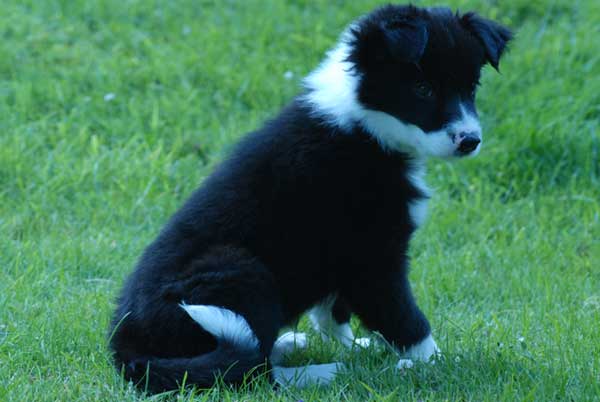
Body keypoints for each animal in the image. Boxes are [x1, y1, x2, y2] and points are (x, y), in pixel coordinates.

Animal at [109, 3, 510, 392]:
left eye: (472, 87)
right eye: (423, 88)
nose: (470, 140)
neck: (365, 124)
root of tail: (124, 347)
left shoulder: (340, 254)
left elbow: (333, 310)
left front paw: (354, 347)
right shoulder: (373, 256)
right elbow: (404, 318)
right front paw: (437, 365)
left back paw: (290, 346)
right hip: (240, 270)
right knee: (248, 373)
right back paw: (326, 372)